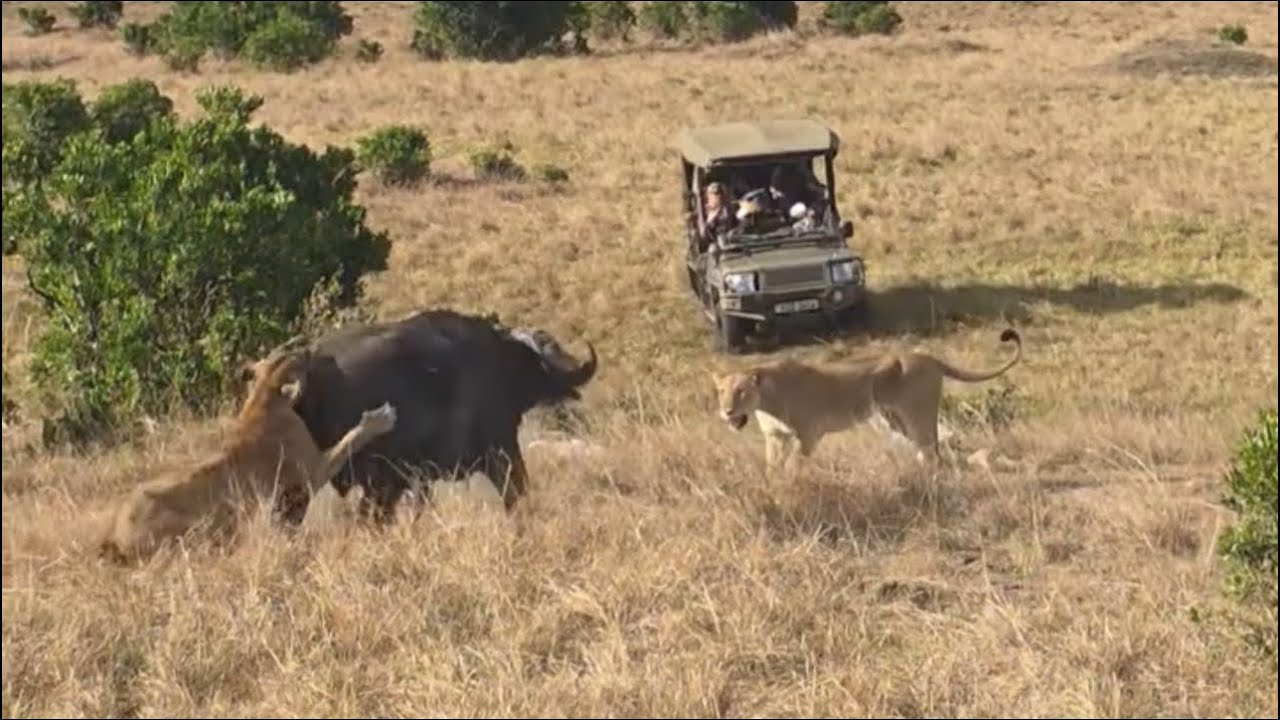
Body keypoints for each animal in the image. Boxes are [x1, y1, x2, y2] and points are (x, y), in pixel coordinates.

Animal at [98, 345, 398, 565]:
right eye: (300, 356)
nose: (309, 347)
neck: (263, 397)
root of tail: (112, 537)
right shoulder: (309, 474)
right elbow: (350, 439)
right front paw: (381, 418)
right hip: (194, 527)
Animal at [711, 329, 1023, 473]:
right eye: (722, 391)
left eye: (741, 391)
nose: (727, 412)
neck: (766, 402)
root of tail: (929, 357)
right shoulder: (775, 437)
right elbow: (773, 466)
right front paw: (773, 483)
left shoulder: (809, 434)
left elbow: (793, 464)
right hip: (894, 419)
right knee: (927, 449)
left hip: (917, 413)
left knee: (933, 449)